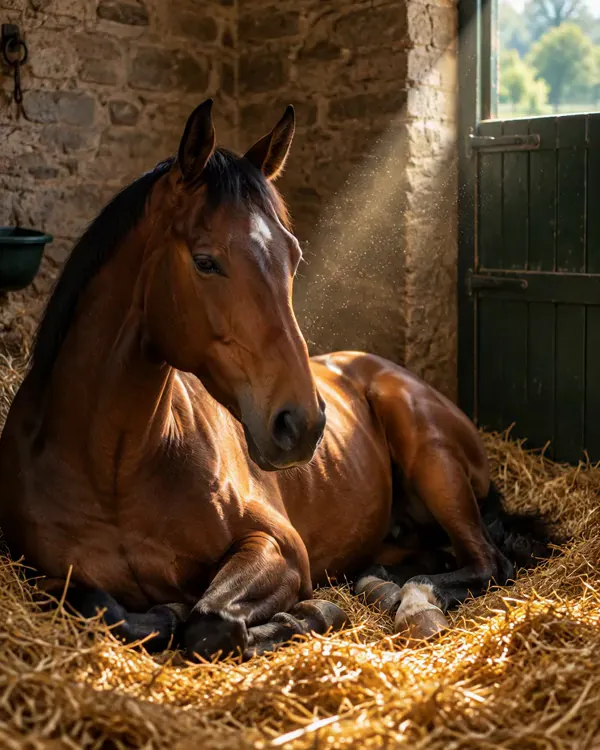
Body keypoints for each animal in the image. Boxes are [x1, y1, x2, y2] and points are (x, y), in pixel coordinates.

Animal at [0, 99, 553, 661]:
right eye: (205, 261)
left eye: (294, 257)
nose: (302, 425)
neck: (113, 467)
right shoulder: (40, 578)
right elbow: (106, 608)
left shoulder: (278, 547)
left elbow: (211, 622)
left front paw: (310, 613)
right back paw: (379, 582)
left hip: (431, 456)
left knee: (485, 563)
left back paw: (410, 601)